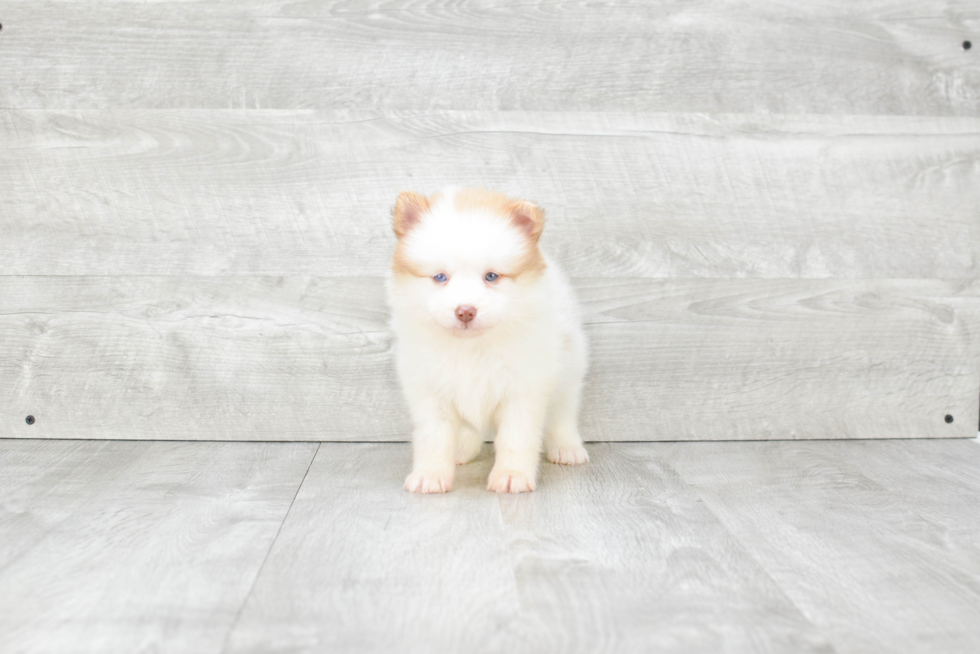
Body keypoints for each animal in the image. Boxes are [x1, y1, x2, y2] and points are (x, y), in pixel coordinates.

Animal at [388, 187, 588, 494]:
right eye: (440, 277)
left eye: (491, 276)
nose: (465, 310)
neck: (472, 348)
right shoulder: (430, 393)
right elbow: (434, 438)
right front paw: (430, 474)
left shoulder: (523, 391)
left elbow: (517, 438)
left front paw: (512, 475)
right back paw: (461, 451)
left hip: (569, 371)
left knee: (562, 416)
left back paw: (567, 449)